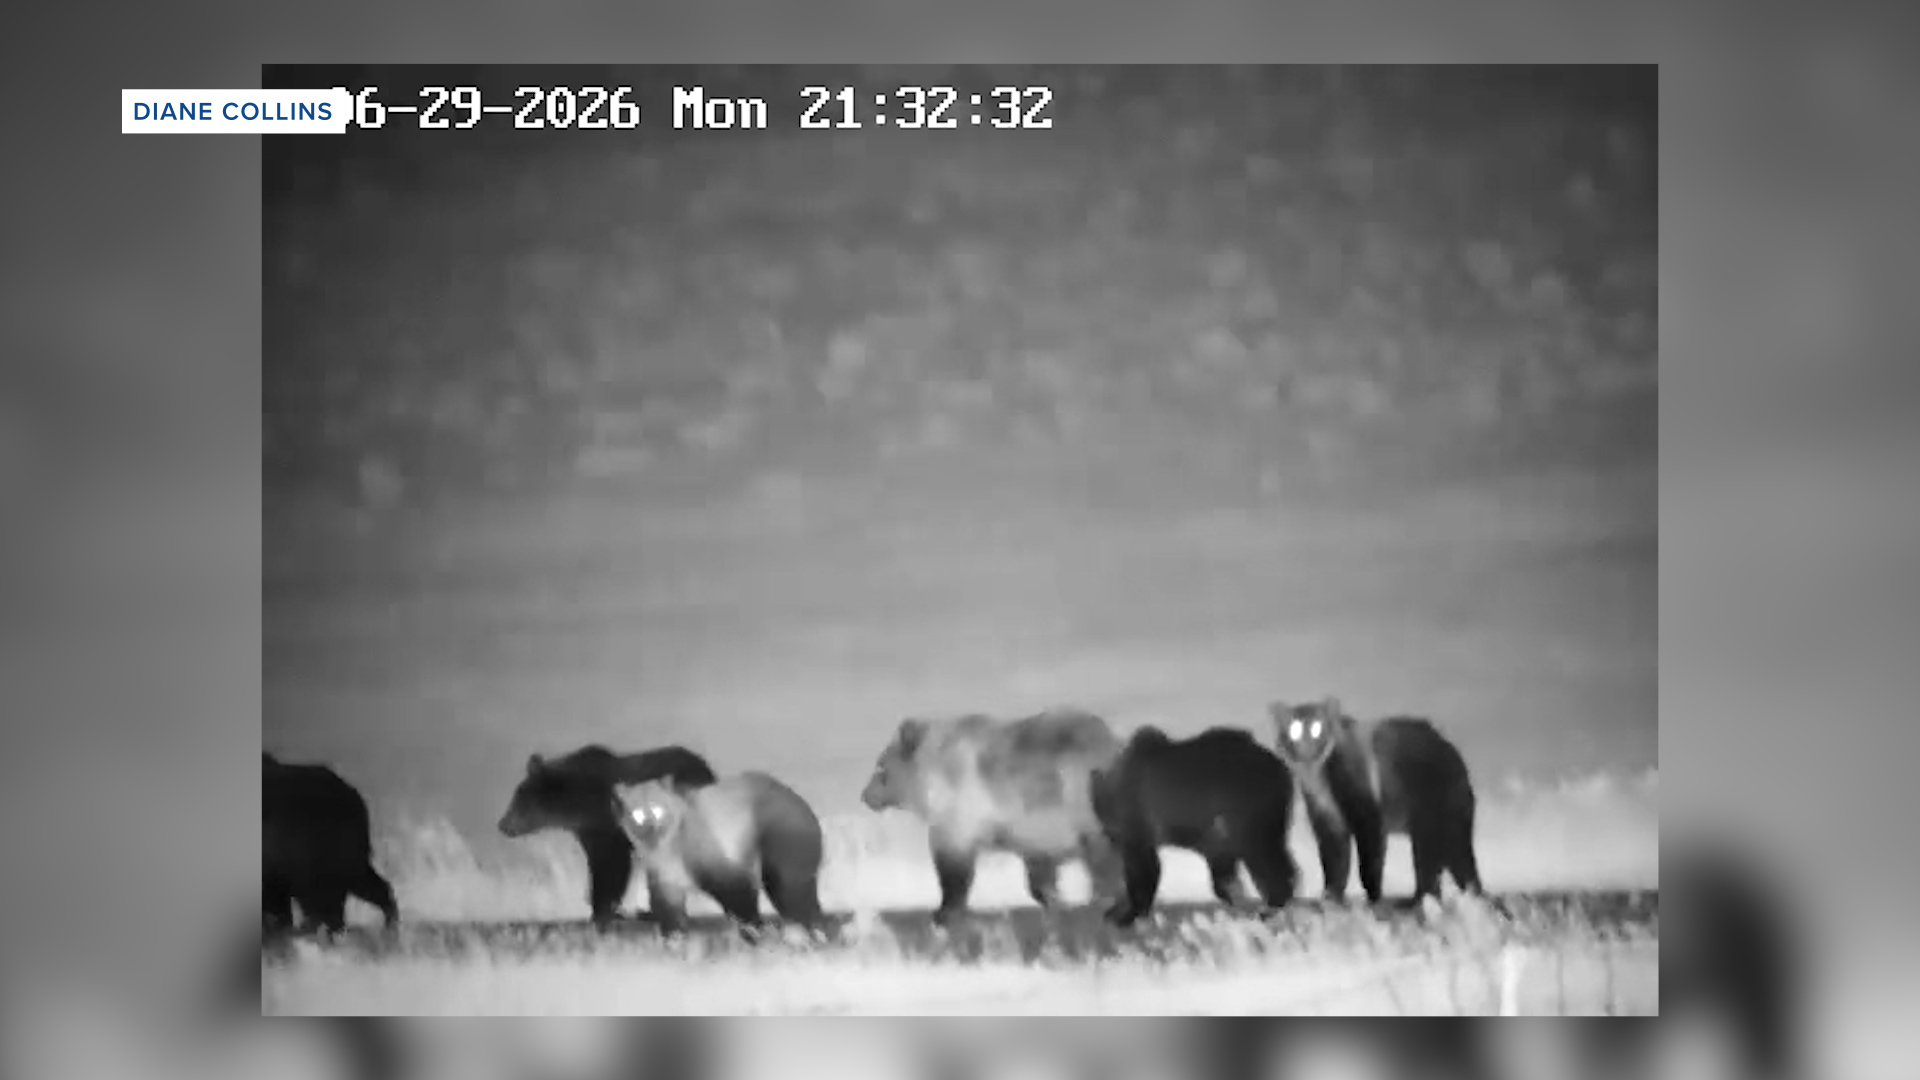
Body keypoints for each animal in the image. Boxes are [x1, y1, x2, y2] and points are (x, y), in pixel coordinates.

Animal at [496, 744, 719, 927]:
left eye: (518, 800)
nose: (503, 825)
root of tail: (708, 771)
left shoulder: (608, 825)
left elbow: (612, 865)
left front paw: (602, 909)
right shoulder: (589, 832)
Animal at [609, 771, 828, 937]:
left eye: (657, 808)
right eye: (637, 813)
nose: (650, 828)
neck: (667, 849)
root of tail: (803, 805)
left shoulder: (722, 871)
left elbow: (742, 904)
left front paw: (755, 932)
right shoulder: (666, 883)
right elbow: (670, 917)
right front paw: (675, 940)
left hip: (778, 865)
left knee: (800, 903)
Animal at [859, 706, 1126, 926]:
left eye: (880, 765)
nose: (865, 795)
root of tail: (1114, 743)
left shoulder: (962, 810)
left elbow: (953, 866)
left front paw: (944, 911)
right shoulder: (1030, 829)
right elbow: (1039, 869)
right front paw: (1055, 900)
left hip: (1081, 793)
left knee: (1103, 854)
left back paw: (1104, 898)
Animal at [1088, 725, 1300, 928]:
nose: (1108, 838)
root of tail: (1282, 769)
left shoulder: (1138, 817)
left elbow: (1143, 867)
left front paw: (1124, 914)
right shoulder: (1211, 834)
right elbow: (1221, 871)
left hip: (1249, 806)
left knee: (1263, 854)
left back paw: (1270, 906)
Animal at [1268, 697, 1484, 906]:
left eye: (1317, 727)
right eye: (1294, 728)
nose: (1306, 745)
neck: (1318, 780)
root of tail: (1456, 758)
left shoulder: (1367, 817)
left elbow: (1368, 864)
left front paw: (1373, 897)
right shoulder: (1329, 824)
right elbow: (1335, 865)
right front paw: (1331, 896)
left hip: (1431, 827)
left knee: (1439, 872)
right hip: (1437, 834)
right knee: (1446, 873)